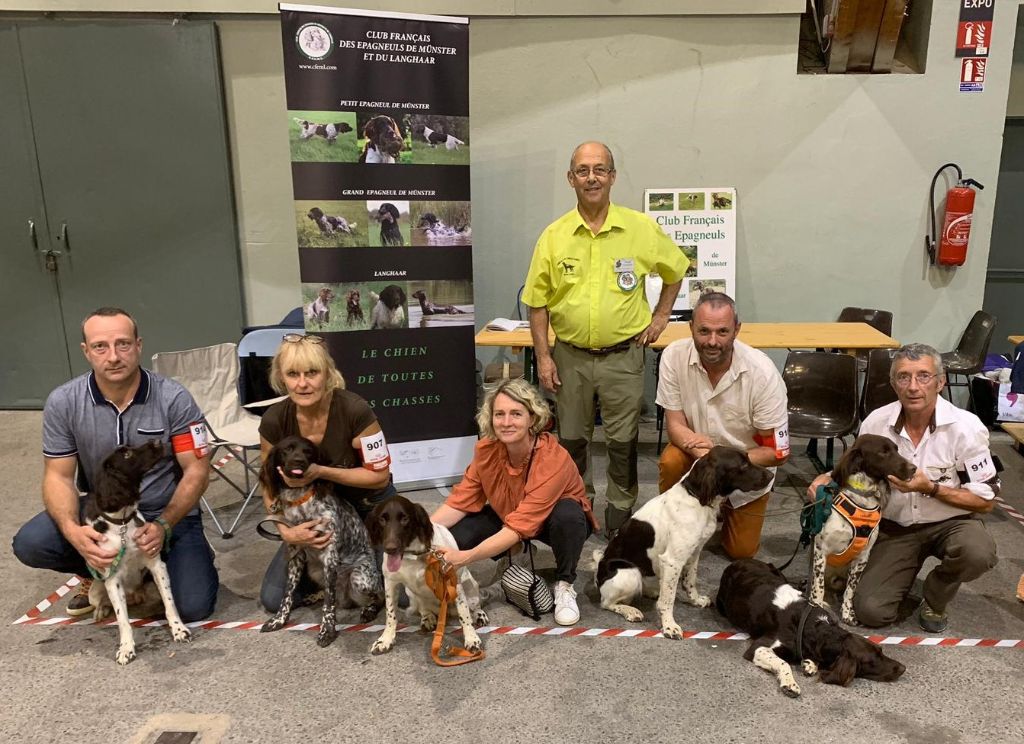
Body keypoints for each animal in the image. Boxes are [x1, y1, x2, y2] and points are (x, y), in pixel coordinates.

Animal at [258, 435, 382, 646]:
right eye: (287, 449)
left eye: (308, 451)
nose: (298, 461)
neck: (299, 500)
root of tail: (346, 598)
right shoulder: (296, 556)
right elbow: (287, 594)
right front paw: (279, 620)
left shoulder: (329, 558)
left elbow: (329, 604)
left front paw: (327, 631)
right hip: (315, 570)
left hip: (360, 579)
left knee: (378, 597)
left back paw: (368, 610)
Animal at [811, 433, 917, 626]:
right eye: (883, 452)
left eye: (896, 449)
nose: (914, 468)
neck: (862, 498)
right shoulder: (821, 551)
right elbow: (818, 588)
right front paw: (815, 609)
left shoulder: (862, 557)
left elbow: (850, 591)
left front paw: (847, 614)